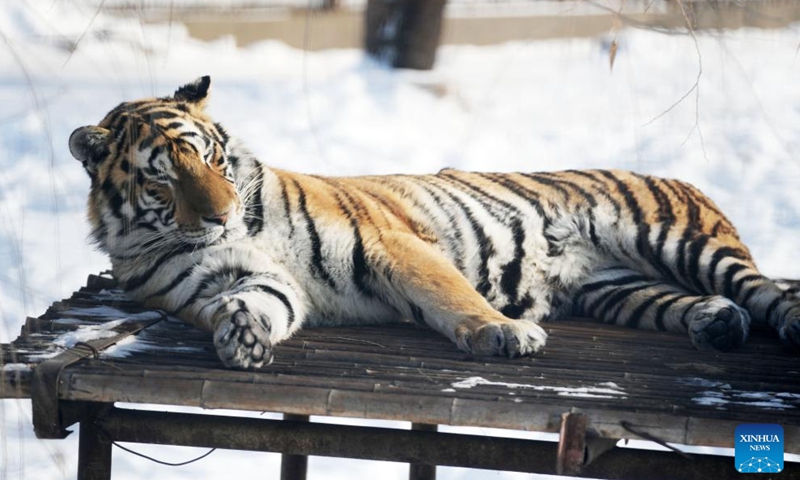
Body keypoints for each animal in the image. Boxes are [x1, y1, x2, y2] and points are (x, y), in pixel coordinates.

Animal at [69, 77, 800, 370]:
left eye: (212, 157)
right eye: (162, 177)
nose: (219, 215)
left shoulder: (386, 243)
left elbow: (449, 295)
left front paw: (507, 334)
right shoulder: (229, 283)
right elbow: (258, 302)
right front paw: (242, 336)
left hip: (679, 239)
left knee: (765, 289)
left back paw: (775, 321)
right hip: (617, 288)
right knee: (694, 303)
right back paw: (718, 325)